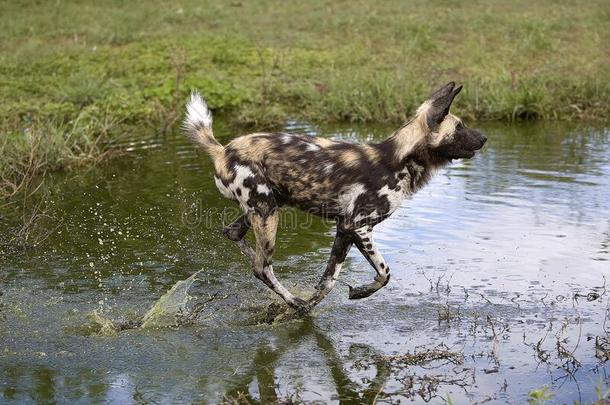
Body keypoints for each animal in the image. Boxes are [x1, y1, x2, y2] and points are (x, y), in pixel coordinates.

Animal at [183, 80, 486, 310]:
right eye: (460, 127)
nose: (484, 138)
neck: (398, 159)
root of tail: (222, 150)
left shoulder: (344, 231)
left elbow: (328, 280)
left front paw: (313, 303)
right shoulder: (358, 227)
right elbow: (385, 273)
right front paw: (358, 293)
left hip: (265, 208)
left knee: (236, 237)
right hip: (268, 214)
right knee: (261, 267)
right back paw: (292, 300)